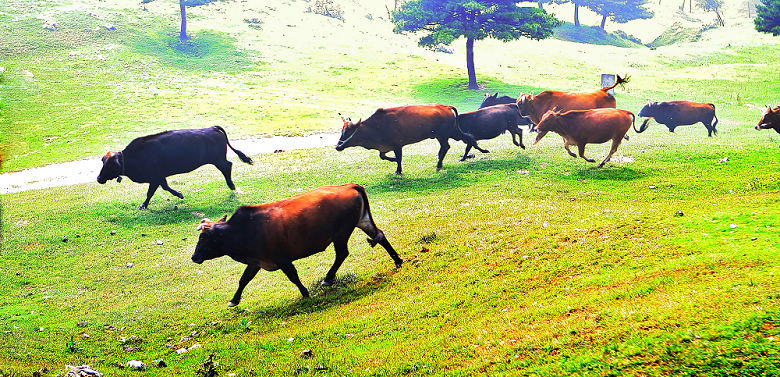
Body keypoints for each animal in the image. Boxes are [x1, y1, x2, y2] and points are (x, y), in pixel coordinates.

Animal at [96, 125, 251, 209]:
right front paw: (179, 194)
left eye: (110, 165)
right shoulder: (159, 177)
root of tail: (212, 128)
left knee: (228, 166)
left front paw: (144, 205)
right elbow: (163, 187)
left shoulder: (155, 177)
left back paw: (231, 185)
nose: (98, 178)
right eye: (103, 162)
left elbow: (151, 192)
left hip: (218, 160)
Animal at [190, 184, 402, 306]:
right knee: (380, 235)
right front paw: (234, 300)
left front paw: (305, 293)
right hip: (361, 221)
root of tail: (349, 186)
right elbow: (243, 280)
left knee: (342, 253)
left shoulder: (282, 259)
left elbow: (293, 277)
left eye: (203, 239)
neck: (243, 230)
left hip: (341, 233)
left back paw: (328, 278)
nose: (194, 257)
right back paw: (397, 260)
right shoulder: (256, 261)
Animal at [336, 103, 488, 173]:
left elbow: (399, 158)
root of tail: (445, 106)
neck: (377, 126)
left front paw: (398, 170)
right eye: (342, 130)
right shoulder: (385, 147)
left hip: (446, 134)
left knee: (458, 142)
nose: (338, 146)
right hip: (446, 134)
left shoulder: (397, 145)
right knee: (462, 141)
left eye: (348, 131)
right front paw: (393, 161)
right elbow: (383, 156)